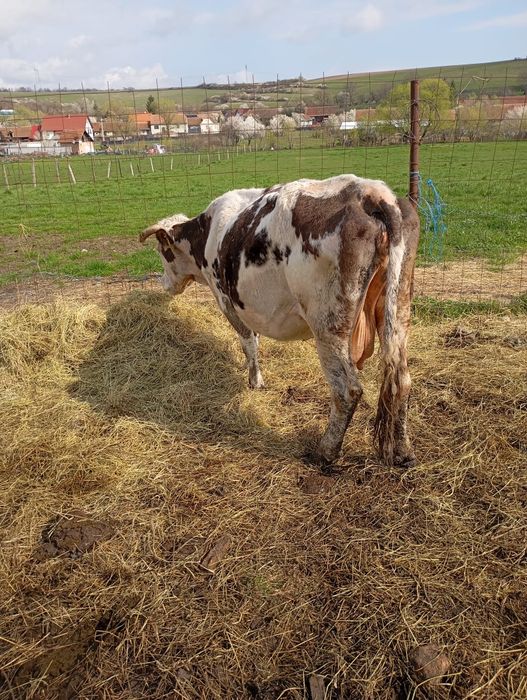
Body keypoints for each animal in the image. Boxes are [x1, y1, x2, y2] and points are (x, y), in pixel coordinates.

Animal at [140, 174, 420, 467]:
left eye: (162, 252)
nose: (164, 284)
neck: (209, 232)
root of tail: (371, 192)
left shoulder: (228, 302)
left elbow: (248, 343)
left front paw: (255, 381)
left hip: (328, 325)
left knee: (347, 390)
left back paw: (325, 452)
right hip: (397, 309)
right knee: (402, 381)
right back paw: (403, 452)